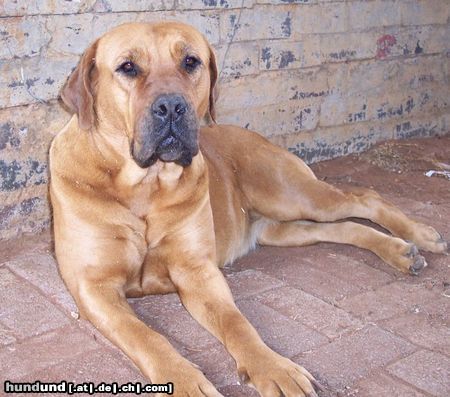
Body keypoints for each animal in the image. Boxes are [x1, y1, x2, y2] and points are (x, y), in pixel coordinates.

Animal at [50, 22, 446, 396]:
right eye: (127, 67)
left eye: (190, 61)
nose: (171, 106)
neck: (145, 185)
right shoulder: (95, 287)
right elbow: (145, 336)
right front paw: (184, 380)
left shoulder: (198, 273)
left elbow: (237, 323)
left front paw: (273, 368)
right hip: (283, 227)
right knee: (342, 227)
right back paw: (400, 251)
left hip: (291, 195)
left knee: (366, 198)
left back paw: (418, 236)